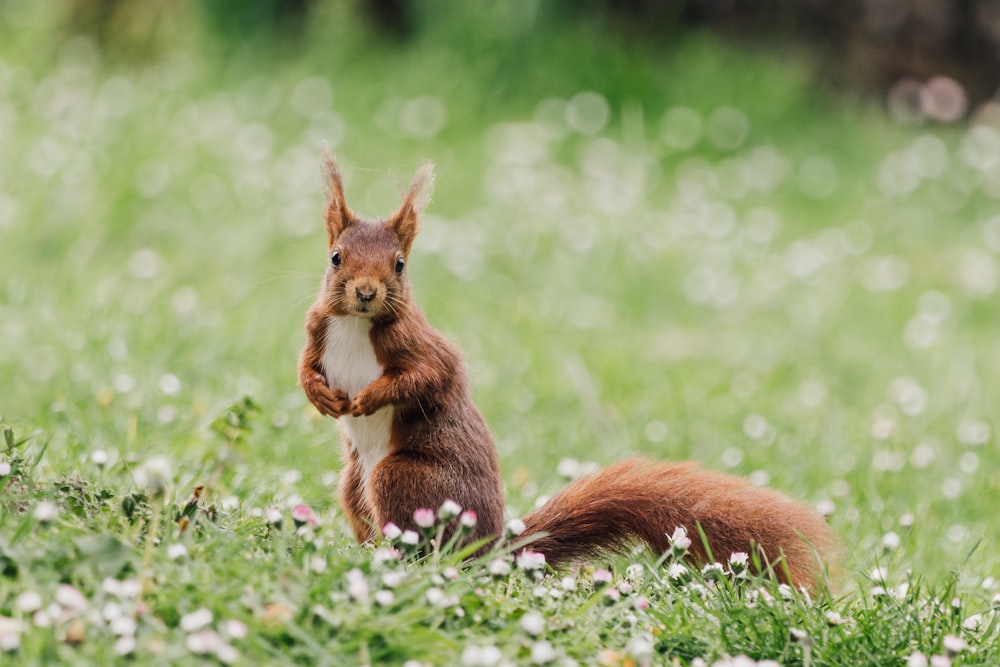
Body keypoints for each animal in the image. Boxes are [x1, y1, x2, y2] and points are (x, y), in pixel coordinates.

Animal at [296, 155, 836, 588]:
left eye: (400, 265)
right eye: (336, 257)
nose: (366, 292)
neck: (357, 324)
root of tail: (492, 549)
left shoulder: (422, 347)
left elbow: (427, 377)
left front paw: (369, 397)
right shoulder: (317, 326)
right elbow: (305, 365)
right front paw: (320, 396)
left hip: (405, 477)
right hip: (353, 483)